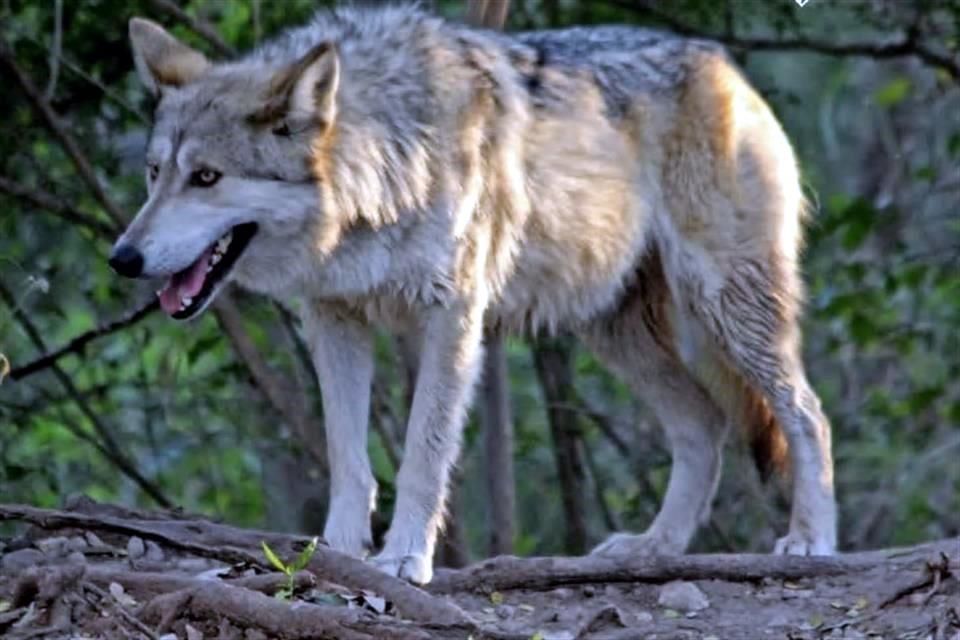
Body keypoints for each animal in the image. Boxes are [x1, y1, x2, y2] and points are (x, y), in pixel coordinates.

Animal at [110, 5, 837, 584]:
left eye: (207, 177)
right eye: (155, 173)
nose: (123, 258)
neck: (386, 163)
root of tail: (726, 67)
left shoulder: (451, 318)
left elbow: (423, 458)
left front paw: (405, 558)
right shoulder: (335, 319)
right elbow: (349, 458)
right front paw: (338, 552)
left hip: (725, 304)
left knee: (807, 413)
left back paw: (810, 540)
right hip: (613, 331)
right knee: (704, 424)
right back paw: (653, 548)